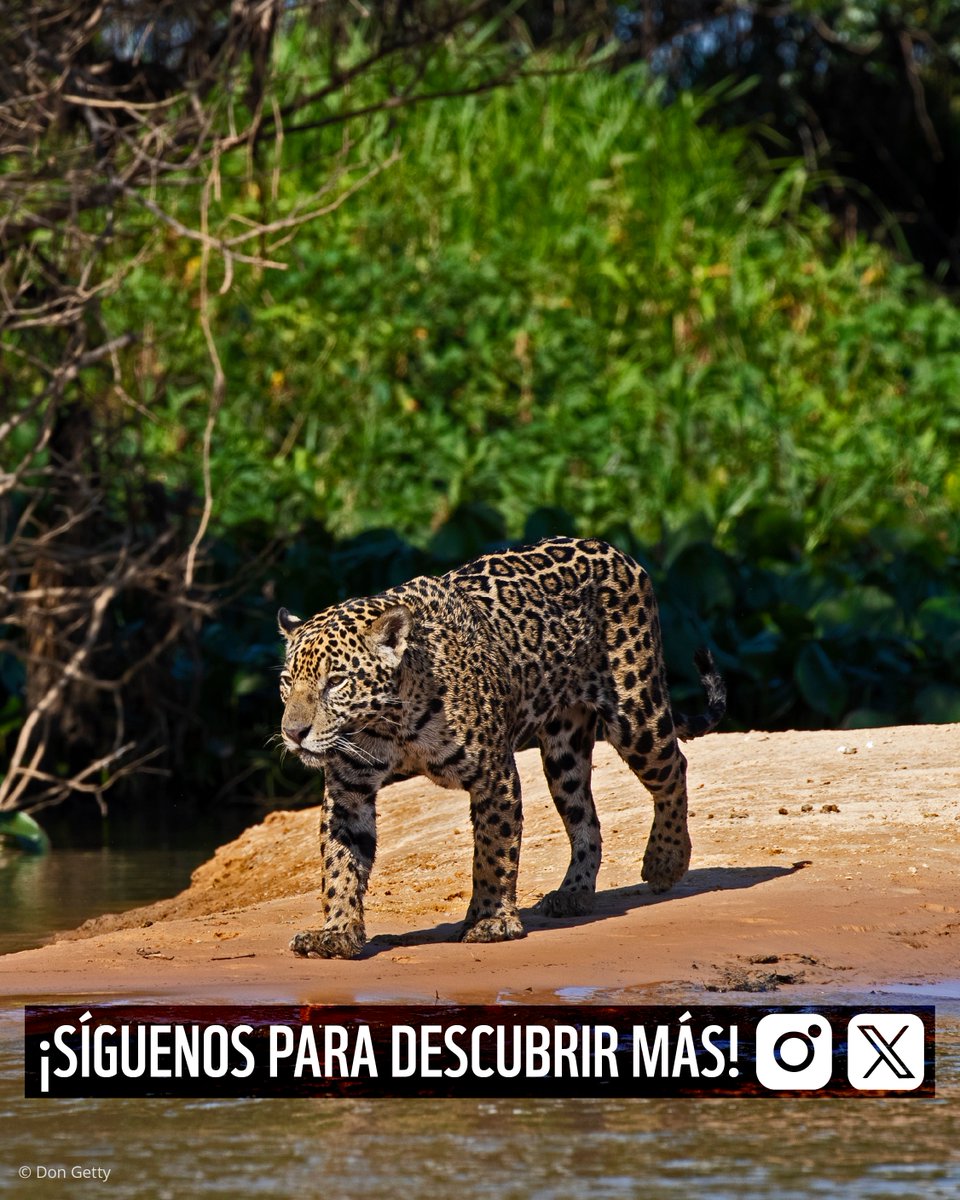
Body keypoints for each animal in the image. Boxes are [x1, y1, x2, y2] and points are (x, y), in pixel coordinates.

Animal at [276, 536, 725, 960]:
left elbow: (493, 850)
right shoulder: (348, 791)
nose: (293, 732)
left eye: (336, 682)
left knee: (674, 769)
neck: (392, 725)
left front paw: (490, 920)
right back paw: (574, 893)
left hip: (636, 714)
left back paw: (667, 859)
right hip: (563, 751)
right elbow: (340, 863)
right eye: (287, 681)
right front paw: (337, 932)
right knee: (586, 818)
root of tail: (613, 549)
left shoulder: (494, 775)